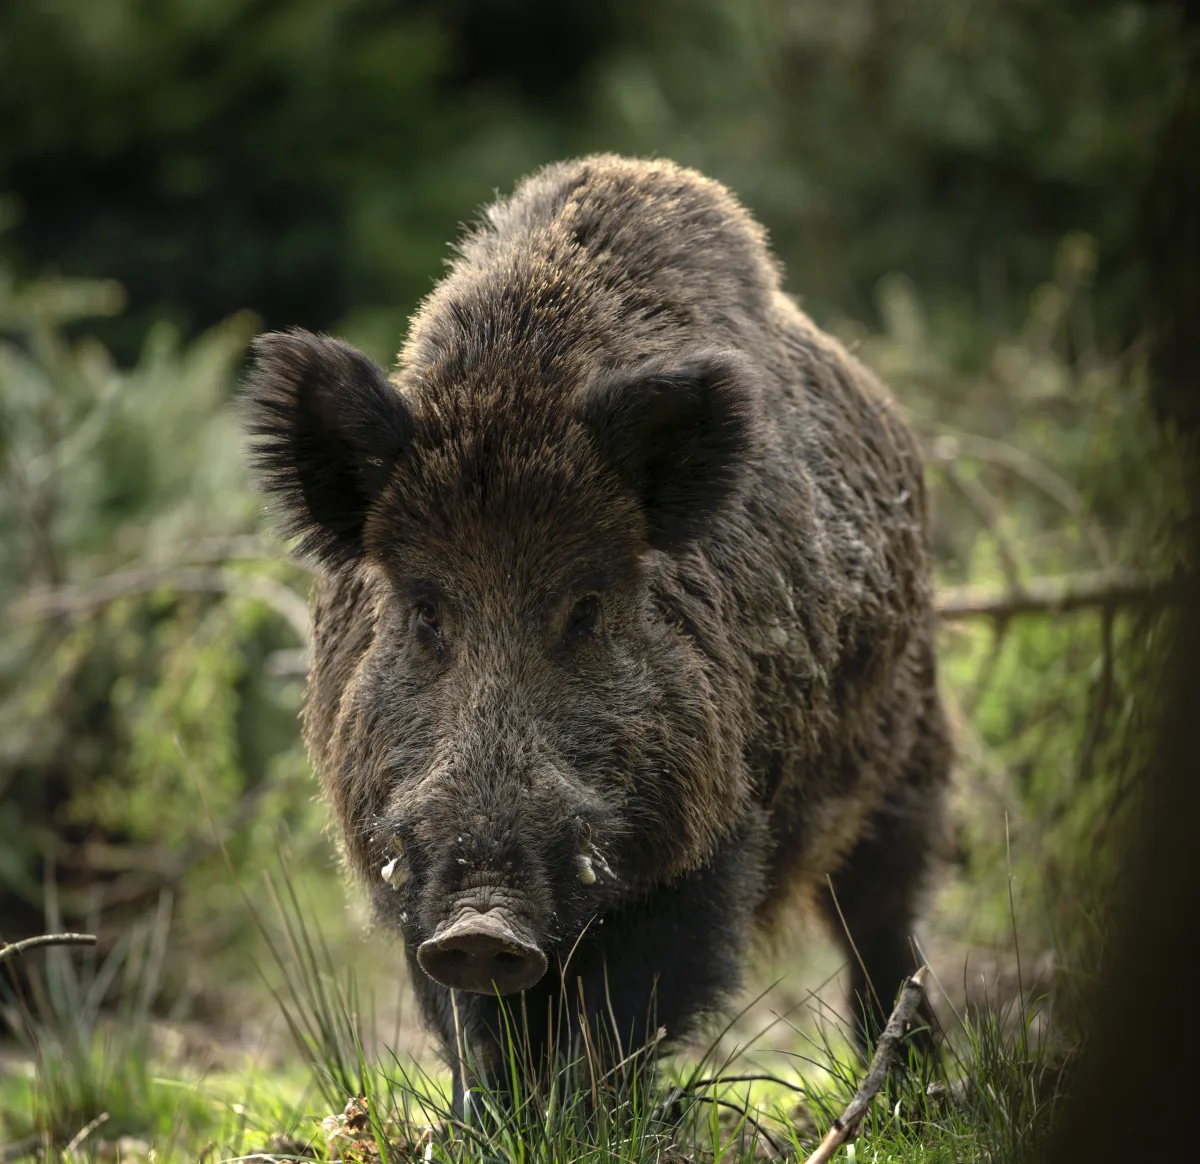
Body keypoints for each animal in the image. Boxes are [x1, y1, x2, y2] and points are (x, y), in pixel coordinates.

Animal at [243, 154, 950, 1105]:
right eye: (426, 609)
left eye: (584, 608)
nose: (483, 924)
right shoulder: (401, 858)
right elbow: (473, 1023)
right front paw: (488, 1122)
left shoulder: (711, 833)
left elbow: (626, 1009)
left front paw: (585, 1118)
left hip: (905, 758)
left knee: (881, 923)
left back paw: (915, 1086)